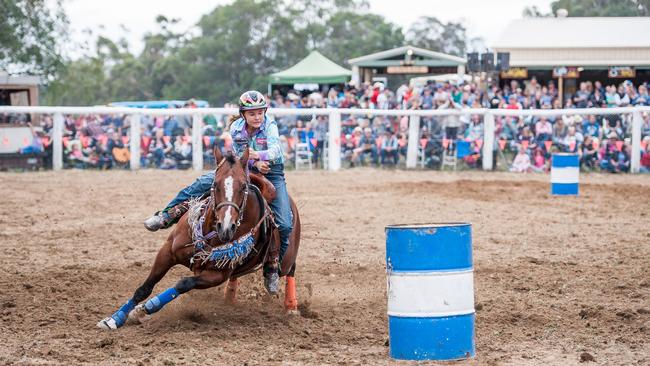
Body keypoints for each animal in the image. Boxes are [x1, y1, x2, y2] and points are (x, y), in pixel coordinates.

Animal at [97, 147, 300, 332]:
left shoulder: (217, 275)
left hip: (286, 259)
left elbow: (183, 283)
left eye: (243, 186)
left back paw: (290, 305)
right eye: (215, 184)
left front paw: (145, 308)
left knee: (290, 270)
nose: (226, 227)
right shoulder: (167, 252)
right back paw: (229, 299)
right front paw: (114, 319)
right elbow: (144, 288)